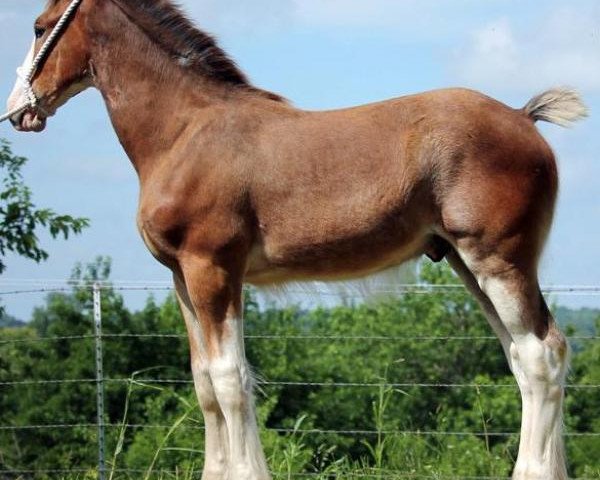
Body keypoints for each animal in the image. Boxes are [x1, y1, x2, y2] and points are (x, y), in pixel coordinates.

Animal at [5, 1, 584, 478]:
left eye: (38, 27)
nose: (19, 111)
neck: (185, 133)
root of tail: (523, 118)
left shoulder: (214, 269)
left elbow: (230, 378)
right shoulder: (181, 279)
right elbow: (204, 384)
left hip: (499, 261)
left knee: (542, 354)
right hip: (467, 266)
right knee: (526, 358)